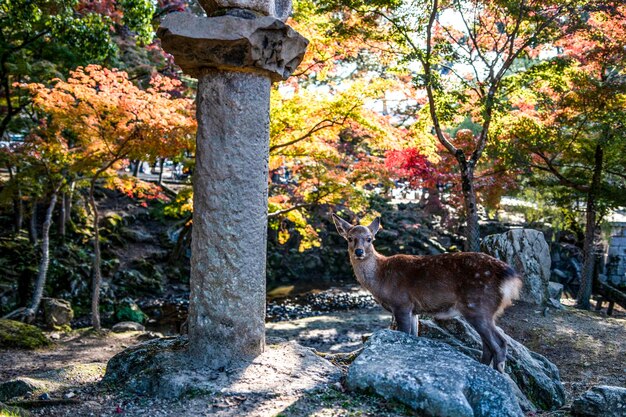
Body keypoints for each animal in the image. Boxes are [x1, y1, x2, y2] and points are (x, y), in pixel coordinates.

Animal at [332, 213, 520, 372]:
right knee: (488, 344)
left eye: (369, 239)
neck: (380, 278)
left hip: (478, 306)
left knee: (500, 343)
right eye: (350, 238)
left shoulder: (401, 303)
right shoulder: (414, 310)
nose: (359, 252)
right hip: (483, 310)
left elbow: (404, 333)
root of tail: (510, 277)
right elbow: (414, 335)